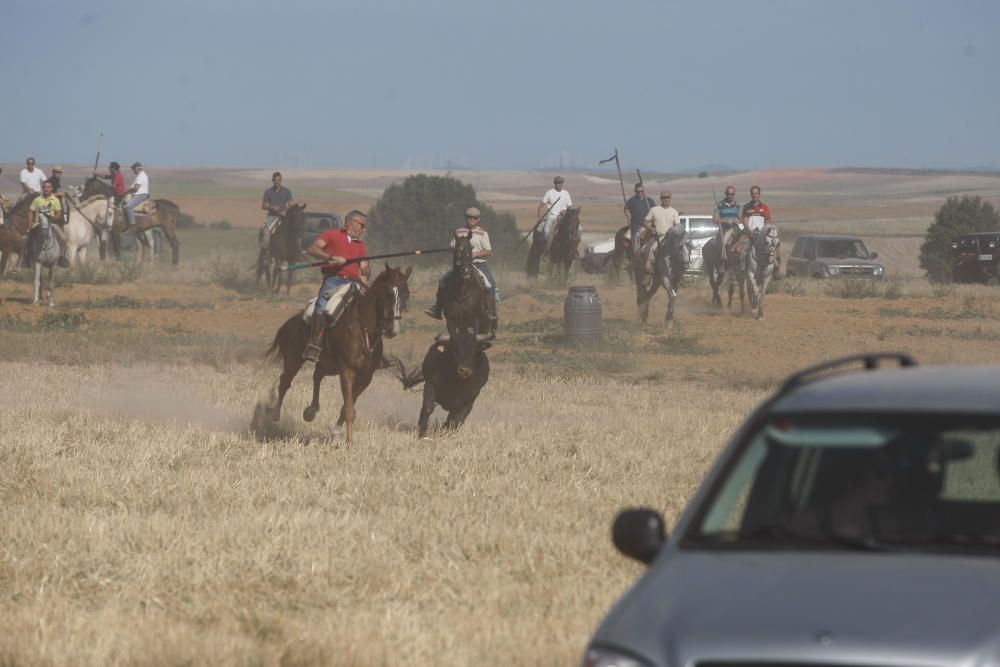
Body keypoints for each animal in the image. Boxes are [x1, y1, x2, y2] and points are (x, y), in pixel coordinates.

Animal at [264, 264, 412, 446]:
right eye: (389, 293)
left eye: (406, 294)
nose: (393, 329)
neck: (363, 328)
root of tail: (297, 318)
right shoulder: (347, 372)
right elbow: (349, 409)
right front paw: (348, 442)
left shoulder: (366, 377)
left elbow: (347, 405)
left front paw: (336, 432)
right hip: (295, 358)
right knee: (285, 382)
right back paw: (275, 414)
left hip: (328, 365)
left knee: (317, 375)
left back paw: (311, 411)